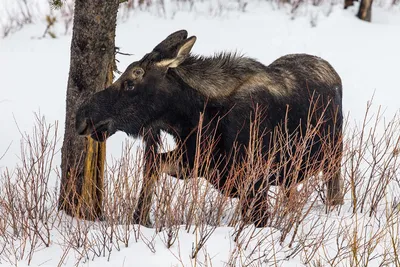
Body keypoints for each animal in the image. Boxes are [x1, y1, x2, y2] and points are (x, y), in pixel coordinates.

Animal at [75, 29, 344, 228]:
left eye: (131, 82)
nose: (82, 117)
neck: (197, 116)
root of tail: (333, 71)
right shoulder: (195, 159)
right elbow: (153, 163)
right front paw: (140, 218)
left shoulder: (255, 179)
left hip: (333, 157)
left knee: (335, 191)